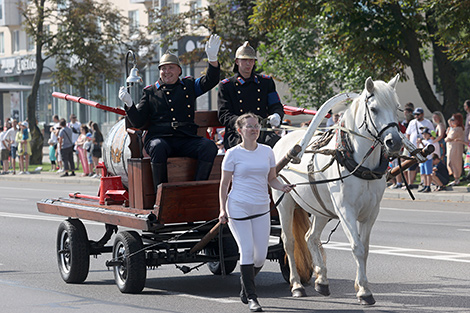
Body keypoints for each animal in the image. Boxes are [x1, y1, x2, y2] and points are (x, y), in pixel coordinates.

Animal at [274, 74, 402, 304]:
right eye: (374, 108)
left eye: (396, 107)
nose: (394, 142)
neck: (361, 164)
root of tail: (284, 139)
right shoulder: (346, 211)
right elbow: (357, 248)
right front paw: (364, 291)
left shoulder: (371, 212)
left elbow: (365, 249)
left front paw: (361, 285)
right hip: (285, 204)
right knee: (289, 242)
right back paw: (296, 285)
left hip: (320, 209)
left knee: (310, 238)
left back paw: (322, 280)